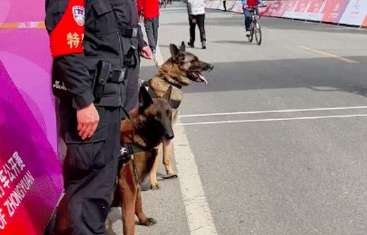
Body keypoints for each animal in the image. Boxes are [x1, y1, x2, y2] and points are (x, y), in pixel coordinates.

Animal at [144, 41, 213, 189]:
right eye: (194, 60)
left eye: (197, 58)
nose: (211, 66)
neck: (169, 80)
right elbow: (155, 160)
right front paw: (153, 181)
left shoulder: (168, 132)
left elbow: (166, 155)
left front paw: (169, 172)